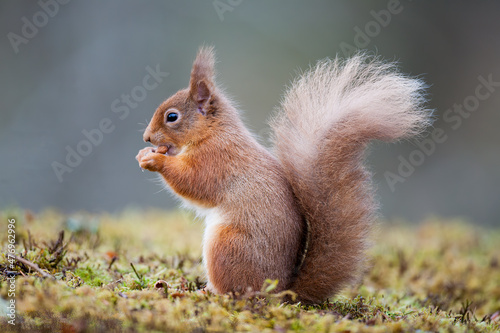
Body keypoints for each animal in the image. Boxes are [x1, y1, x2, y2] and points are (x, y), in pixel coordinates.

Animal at [136, 46, 430, 304]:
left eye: (172, 117)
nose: (147, 137)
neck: (212, 132)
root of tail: (280, 291)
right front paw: (145, 153)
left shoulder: (217, 160)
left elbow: (194, 183)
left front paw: (154, 159)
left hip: (227, 246)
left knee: (236, 293)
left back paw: (201, 293)